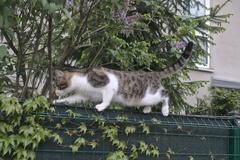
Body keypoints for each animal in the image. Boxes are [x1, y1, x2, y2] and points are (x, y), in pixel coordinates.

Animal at [52, 41, 193, 116]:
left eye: (59, 85)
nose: (56, 92)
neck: (81, 82)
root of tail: (153, 73)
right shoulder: (82, 96)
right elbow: (70, 99)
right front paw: (56, 101)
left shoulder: (108, 84)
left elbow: (107, 99)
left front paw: (101, 106)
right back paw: (147, 109)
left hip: (150, 94)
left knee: (166, 93)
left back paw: (165, 110)